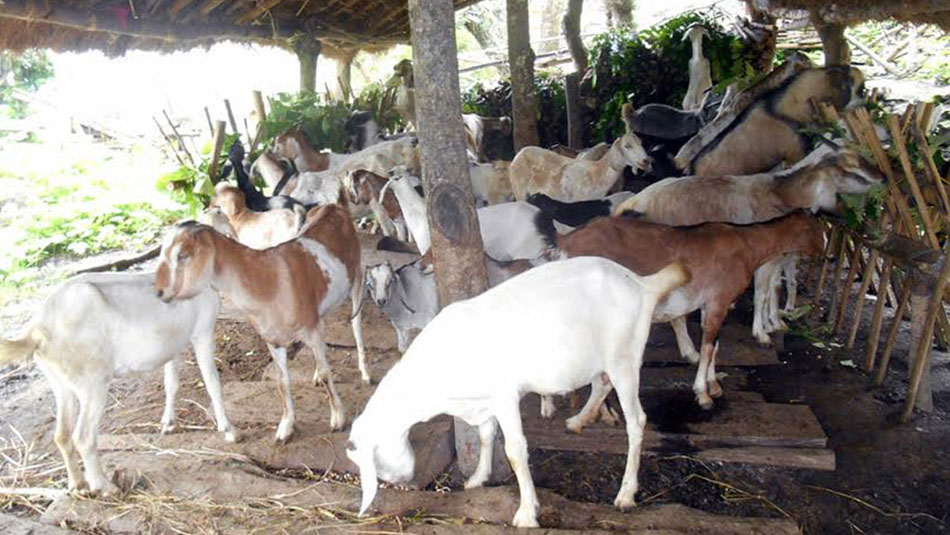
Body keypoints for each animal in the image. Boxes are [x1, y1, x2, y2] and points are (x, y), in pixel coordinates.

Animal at [0, 273, 236, 495]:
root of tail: (37, 331)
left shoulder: (174, 346)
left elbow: (171, 383)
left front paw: (168, 423)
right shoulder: (203, 332)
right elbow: (212, 382)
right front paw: (228, 429)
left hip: (60, 385)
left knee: (62, 435)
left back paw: (78, 484)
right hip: (93, 382)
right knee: (84, 436)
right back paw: (104, 487)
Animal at [154, 206, 368, 441]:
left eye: (182, 255)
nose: (159, 292)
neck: (270, 282)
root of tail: (333, 206)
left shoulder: (311, 329)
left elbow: (326, 373)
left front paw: (338, 418)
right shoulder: (273, 340)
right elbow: (282, 382)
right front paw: (285, 427)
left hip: (357, 278)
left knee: (356, 325)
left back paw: (365, 373)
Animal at [347, 257, 689, 527]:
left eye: (374, 458)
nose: (400, 482)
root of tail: (641, 284)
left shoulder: (505, 396)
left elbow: (514, 450)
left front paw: (526, 512)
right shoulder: (483, 401)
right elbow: (485, 435)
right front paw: (477, 479)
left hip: (624, 358)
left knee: (637, 420)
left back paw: (626, 493)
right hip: (597, 358)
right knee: (601, 383)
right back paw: (579, 420)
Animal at [509, 104, 651, 202]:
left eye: (641, 143)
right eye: (627, 146)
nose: (646, 162)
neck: (598, 173)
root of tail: (519, 154)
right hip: (519, 192)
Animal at [537, 212, 824, 408]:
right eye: (817, 231)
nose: (826, 255)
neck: (747, 244)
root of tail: (566, 241)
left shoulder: (710, 304)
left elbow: (714, 346)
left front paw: (714, 385)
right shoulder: (719, 301)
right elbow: (707, 347)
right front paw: (703, 394)